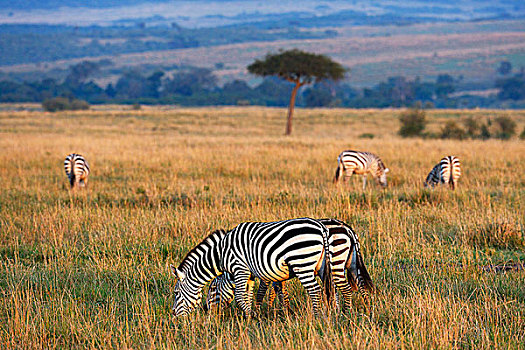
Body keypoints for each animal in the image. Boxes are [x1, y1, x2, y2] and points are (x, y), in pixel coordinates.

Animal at [170, 217, 334, 318]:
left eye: (176, 293)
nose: (173, 314)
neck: (221, 254)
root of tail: (320, 227)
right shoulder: (249, 274)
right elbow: (248, 296)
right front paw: (249, 317)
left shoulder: (240, 268)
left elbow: (240, 297)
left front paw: (252, 317)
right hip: (321, 266)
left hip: (302, 263)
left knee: (315, 290)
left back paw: (316, 317)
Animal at [204, 219, 372, 312]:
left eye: (212, 289)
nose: (206, 310)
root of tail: (347, 228)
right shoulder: (274, 271)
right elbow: (279, 290)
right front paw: (281, 311)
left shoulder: (266, 272)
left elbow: (263, 292)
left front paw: (262, 311)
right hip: (350, 262)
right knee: (360, 283)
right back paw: (366, 308)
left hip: (335, 261)